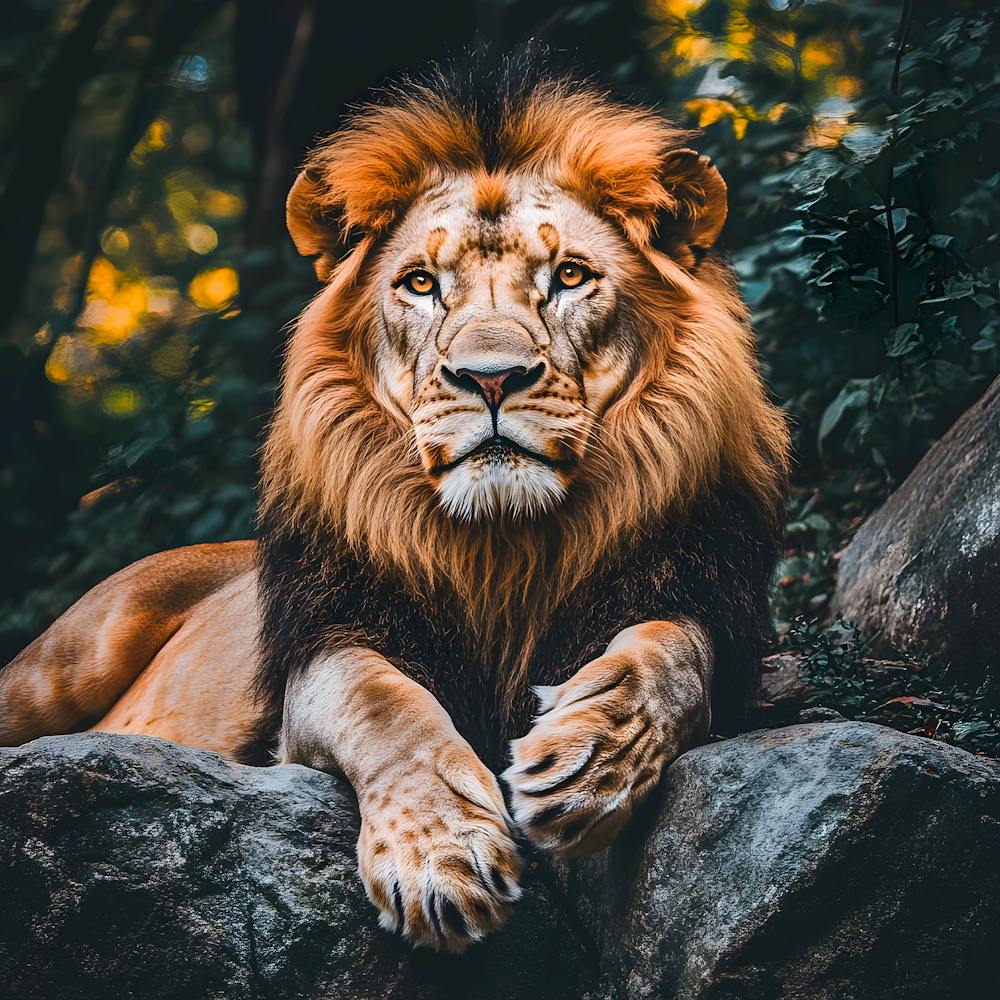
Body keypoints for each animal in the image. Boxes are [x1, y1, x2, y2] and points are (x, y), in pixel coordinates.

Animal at [0, 55, 789, 952]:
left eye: (569, 277)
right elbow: (384, 706)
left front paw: (589, 761)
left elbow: (668, 658)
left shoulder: (697, 599)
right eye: (421, 284)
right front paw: (440, 858)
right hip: (66, 657)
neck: (504, 550)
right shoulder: (324, 652)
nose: (490, 378)